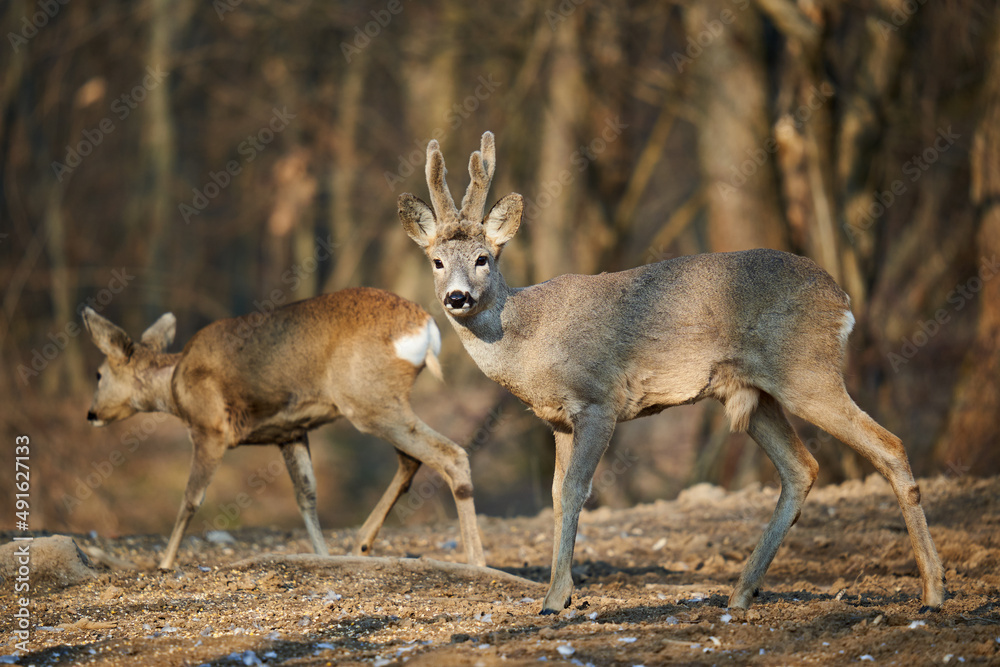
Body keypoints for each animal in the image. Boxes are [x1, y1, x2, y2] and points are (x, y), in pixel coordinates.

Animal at [82, 287, 485, 570]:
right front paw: (323, 557)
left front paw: (164, 563)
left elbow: (191, 498)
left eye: (99, 374)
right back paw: (360, 544)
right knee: (412, 460)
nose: (90, 413)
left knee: (450, 455)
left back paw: (476, 561)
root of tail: (424, 327)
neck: (174, 385)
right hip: (383, 401)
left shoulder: (211, 428)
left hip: (368, 400)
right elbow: (306, 495)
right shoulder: (291, 432)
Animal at [397, 131, 945, 614]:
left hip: (808, 372)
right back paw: (740, 594)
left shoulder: (599, 401)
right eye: (437, 261)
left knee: (889, 446)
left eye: (483, 259)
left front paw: (554, 600)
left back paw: (934, 592)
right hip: (753, 394)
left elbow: (575, 490)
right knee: (802, 468)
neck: (527, 342)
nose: (457, 298)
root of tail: (842, 300)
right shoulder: (557, 421)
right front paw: (561, 591)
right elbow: (554, 495)